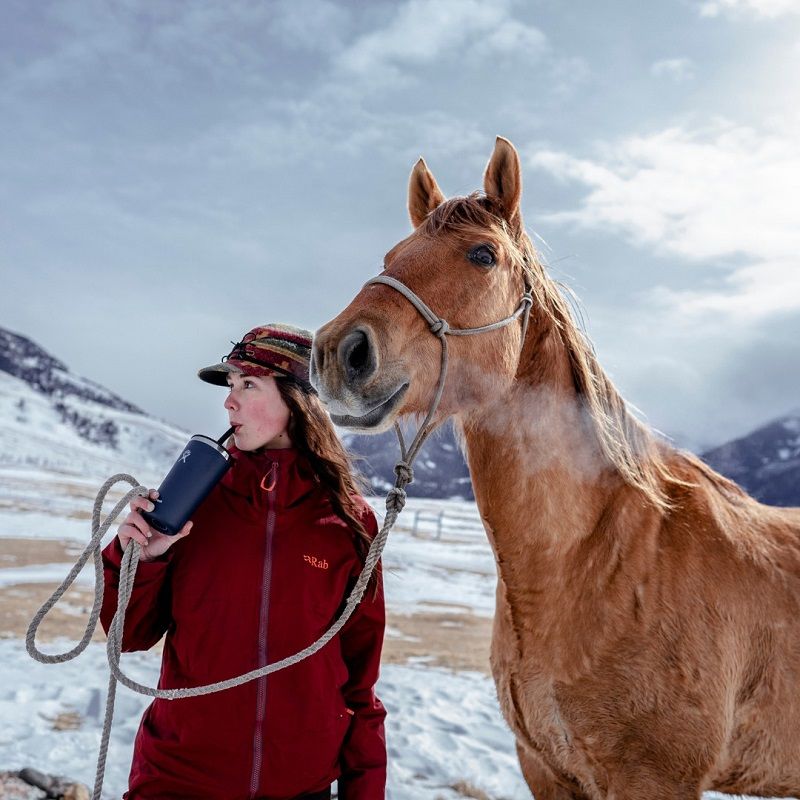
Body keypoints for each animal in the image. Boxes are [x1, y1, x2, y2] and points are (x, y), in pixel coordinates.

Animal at [310, 137, 800, 800]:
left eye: (484, 254)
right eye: (391, 255)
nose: (339, 352)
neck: (601, 560)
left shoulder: (654, 779)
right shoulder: (543, 765)